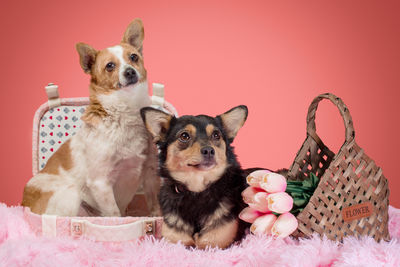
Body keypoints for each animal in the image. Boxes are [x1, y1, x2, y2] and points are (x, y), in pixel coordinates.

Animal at [21, 18, 159, 219]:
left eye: (133, 57)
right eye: (110, 66)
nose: (130, 72)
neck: (126, 109)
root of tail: (23, 204)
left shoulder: (150, 173)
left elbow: (155, 206)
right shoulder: (100, 183)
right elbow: (114, 215)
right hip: (71, 194)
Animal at [141, 105, 250, 250]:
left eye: (216, 135)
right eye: (184, 136)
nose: (209, 150)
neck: (196, 192)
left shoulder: (214, 245)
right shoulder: (175, 242)